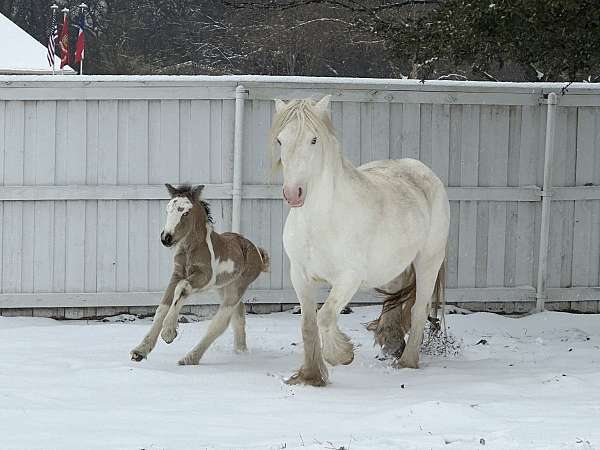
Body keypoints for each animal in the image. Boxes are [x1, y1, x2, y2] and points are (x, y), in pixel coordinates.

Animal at [134, 185, 272, 364]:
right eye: (168, 209)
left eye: (185, 212)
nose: (166, 238)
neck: (190, 249)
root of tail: (257, 252)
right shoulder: (177, 274)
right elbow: (162, 308)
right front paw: (140, 350)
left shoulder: (205, 277)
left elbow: (182, 289)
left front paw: (169, 332)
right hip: (224, 287)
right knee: (238, 315)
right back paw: (241, 351)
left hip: (237, 287)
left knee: (220, 322)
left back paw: (190, 358)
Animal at [272, 96, 450, 384]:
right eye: (280, 139)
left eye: (314, 139)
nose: (293, 193)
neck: (321, 221)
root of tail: (423, 170)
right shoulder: (299, 275)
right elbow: (308, 324)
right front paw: (311, 376)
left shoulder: (348, 278)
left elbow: (325, 316)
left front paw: (341, 355)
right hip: (393, 266)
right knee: (394, 299)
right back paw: (391, 341)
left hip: (428, 262)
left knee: (418, 310)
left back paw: (407, 362)